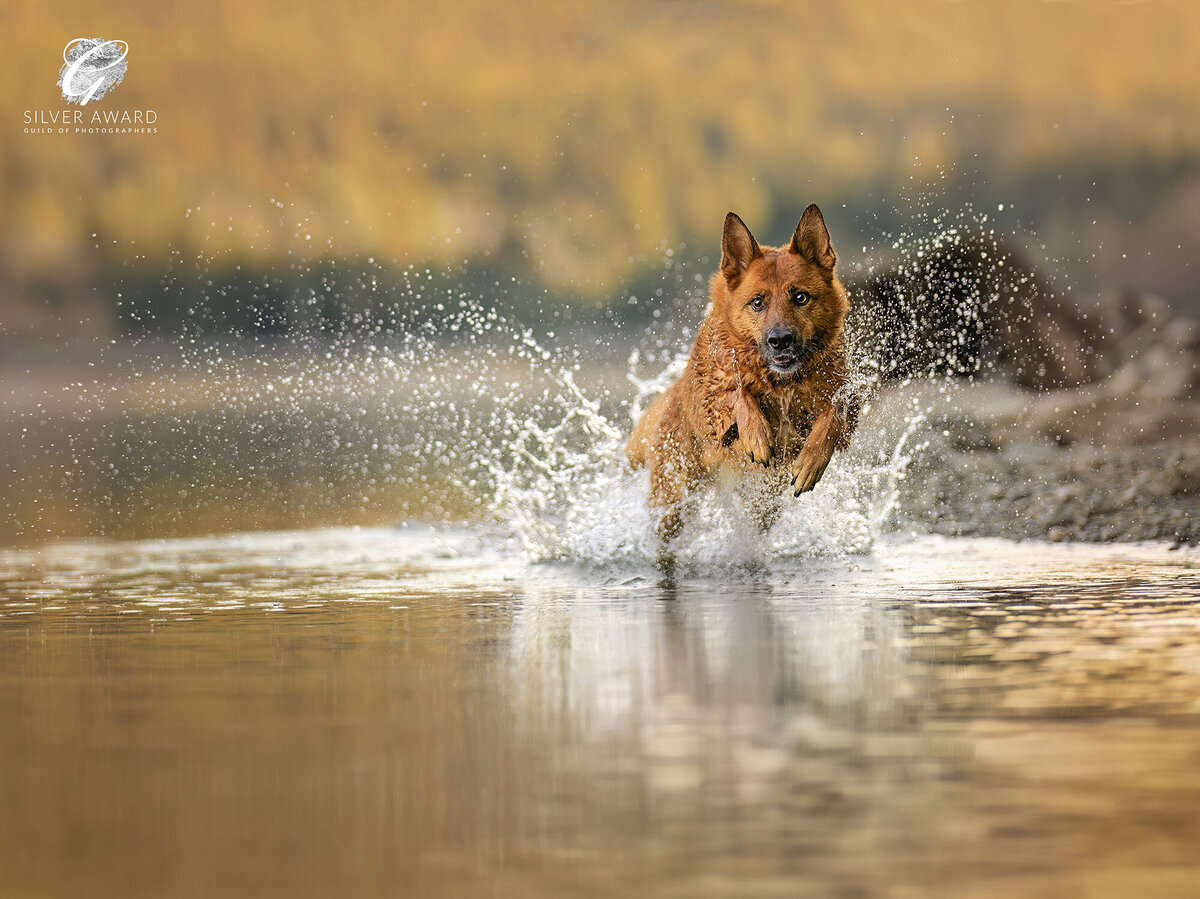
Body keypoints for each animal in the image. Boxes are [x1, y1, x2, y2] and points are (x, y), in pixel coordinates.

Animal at [628, 205, 854, 547]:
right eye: (757, 303)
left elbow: (834, 414)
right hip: (673, 500)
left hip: (762, 503)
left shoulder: (843, 390)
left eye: (800, 298)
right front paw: (756, 434)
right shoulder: (713, 397)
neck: (780, 381)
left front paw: (810, 462)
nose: (780, 340)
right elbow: (736, 390)